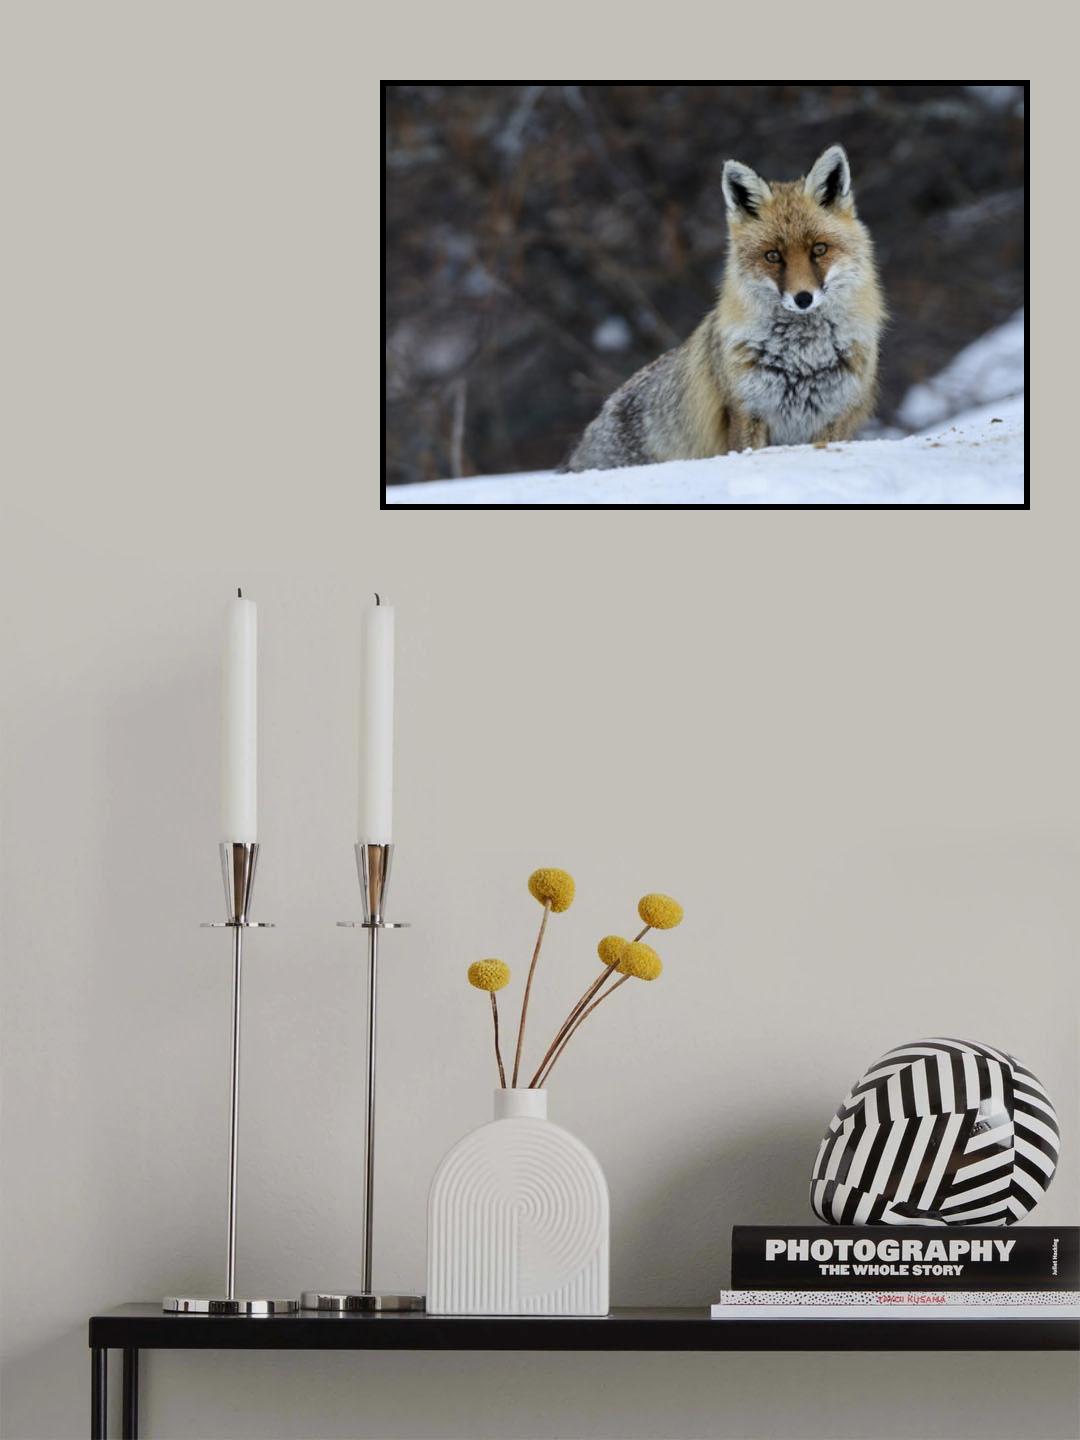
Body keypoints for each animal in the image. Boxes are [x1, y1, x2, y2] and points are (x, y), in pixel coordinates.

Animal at [564, 145, 885, 472]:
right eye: (772, 256)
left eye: (819, 249)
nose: (803, 298)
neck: (803, 358)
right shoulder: (746, 410)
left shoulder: (835, 415)